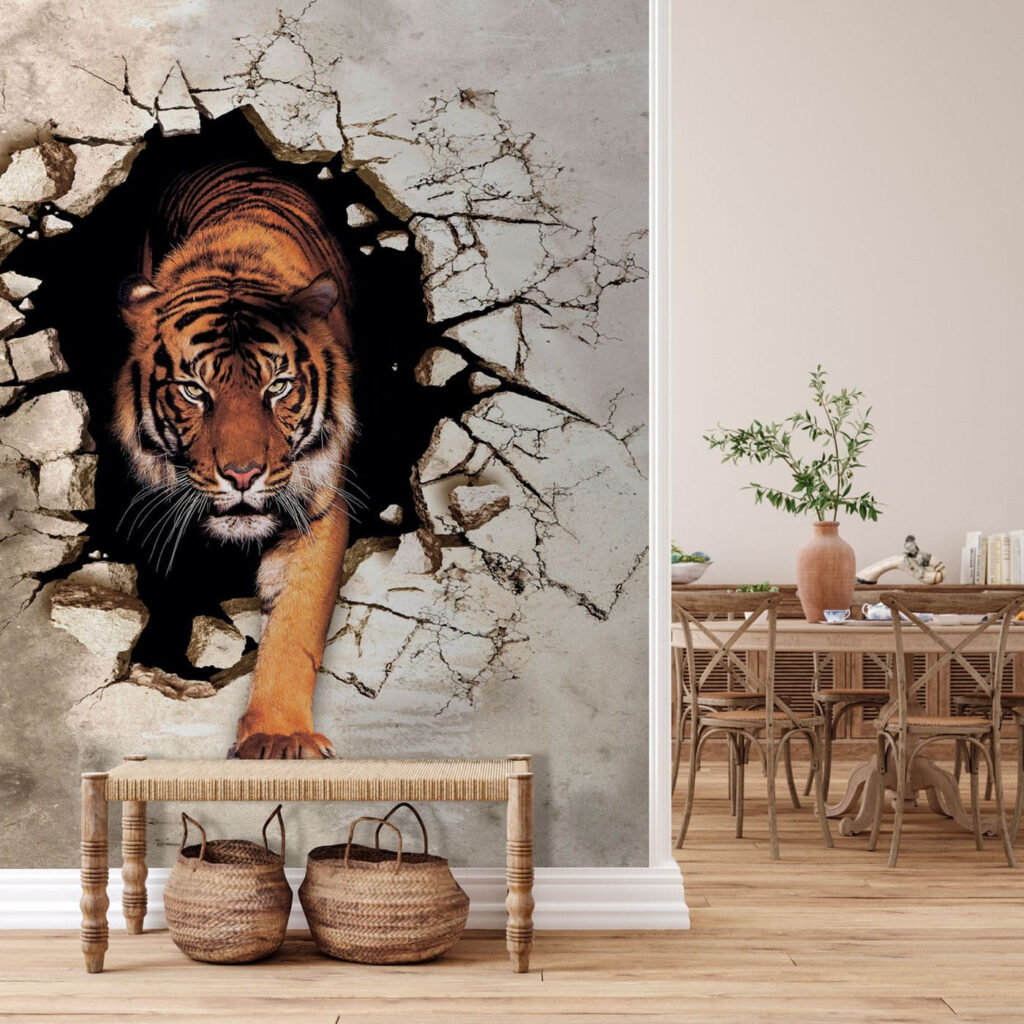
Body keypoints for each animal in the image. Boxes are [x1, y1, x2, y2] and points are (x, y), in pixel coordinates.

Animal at [114, 162, 355, 759]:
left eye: (279, 387)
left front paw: (280, 736)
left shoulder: (317, 507)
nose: (243, 475)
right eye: (194, 391)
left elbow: (296, 625)